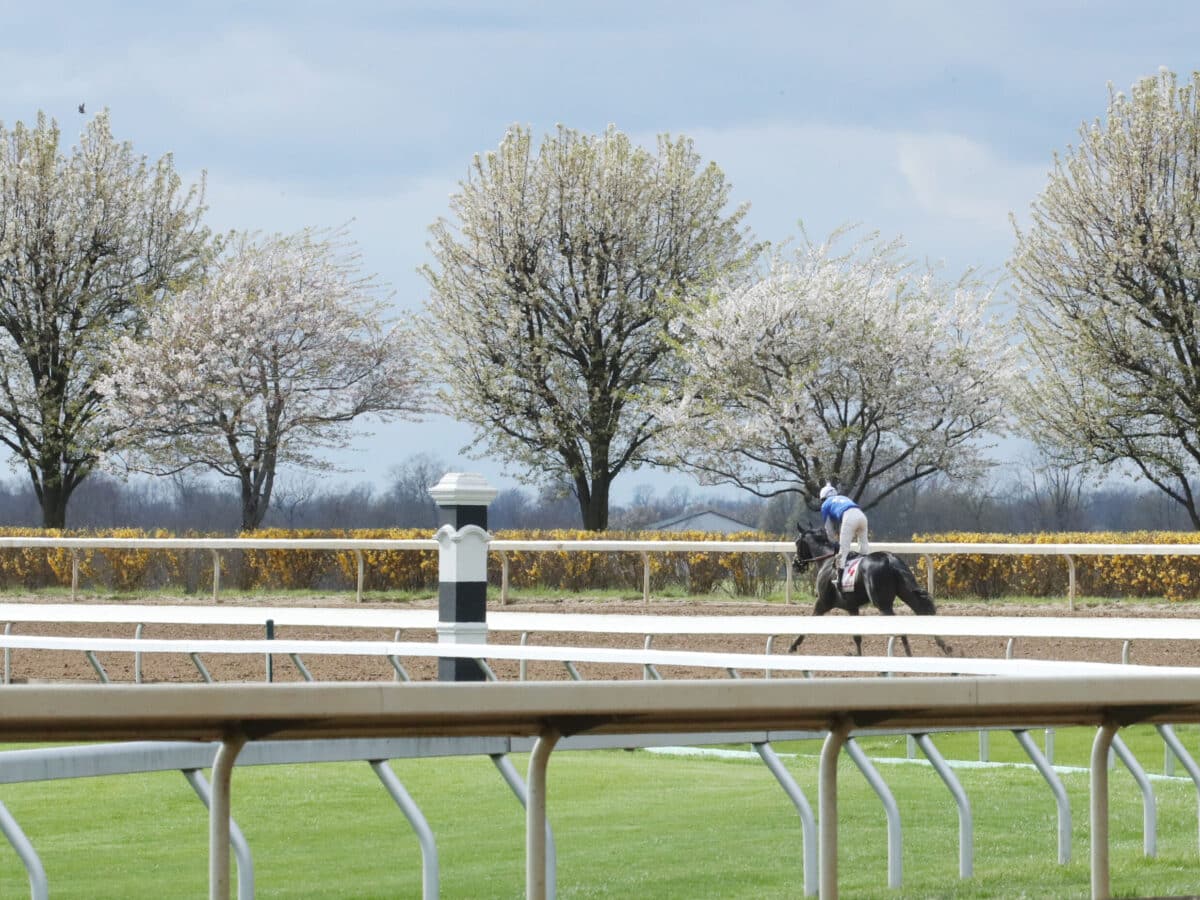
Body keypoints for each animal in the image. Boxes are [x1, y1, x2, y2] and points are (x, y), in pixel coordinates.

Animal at [792, 525, 950, 657]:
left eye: (796, 542)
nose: (795, 564)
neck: (826, 561)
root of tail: (890, 559)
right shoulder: (852, 607)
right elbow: (857, 636)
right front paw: (859, 654)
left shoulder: (823, 602)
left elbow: (808, 623)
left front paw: (792, 646)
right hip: (906, 592)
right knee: (922, 610)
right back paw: (945, 647)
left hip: (882, 604)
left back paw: (909, 653)